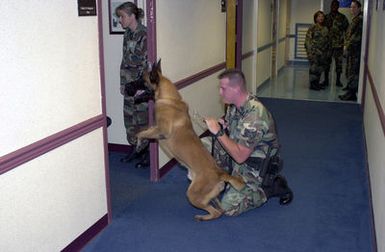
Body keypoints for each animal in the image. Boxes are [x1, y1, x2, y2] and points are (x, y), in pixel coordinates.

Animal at [136, 60, 244, 220]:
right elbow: (142, 131)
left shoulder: (161, 131)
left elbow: (141, 133)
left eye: (141, 80)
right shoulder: (155, 127)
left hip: (193, 195)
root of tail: (219, 173)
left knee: (215, 212)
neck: (169, 98)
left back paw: (202, 217)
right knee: (220, 210)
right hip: (209, 195)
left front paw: (138, 146)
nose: (125, 87)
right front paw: (140, 145)